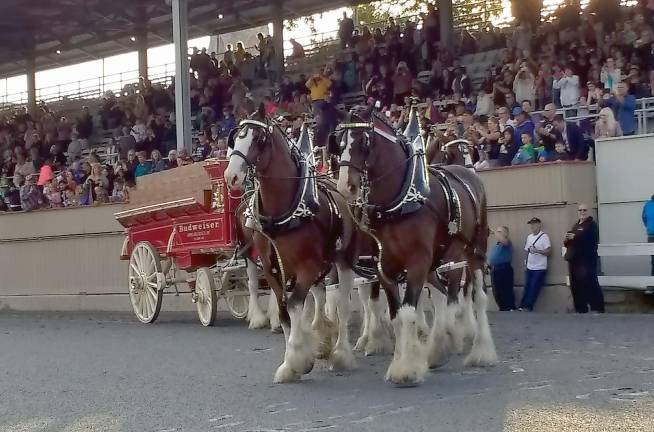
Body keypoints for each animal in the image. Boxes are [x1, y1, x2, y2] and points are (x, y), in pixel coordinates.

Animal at [224, 106, 358, 384]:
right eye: (236, 137)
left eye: (258, 139)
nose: (231, 176)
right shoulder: (271, 267)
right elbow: (285, 309)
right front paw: (289, 363)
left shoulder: (307, 266)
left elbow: (296, 304)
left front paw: (297, 358)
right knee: (318, 295)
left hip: (343, 260)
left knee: (342, 303)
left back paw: (341, 353)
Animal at [338, 107, 498, 384]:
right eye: (340, 143)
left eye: (364, 142)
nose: (346, 187)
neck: (401, 201)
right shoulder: (384, 267)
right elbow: (397, 316)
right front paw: (401, 361)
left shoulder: (418, 263)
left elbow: (410, 311)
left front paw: (408, 369)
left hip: (472, 252)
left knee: (476, 296)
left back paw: (480, 351)